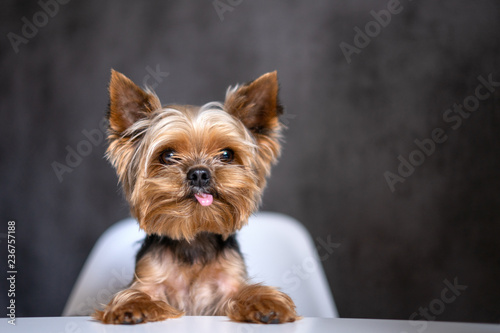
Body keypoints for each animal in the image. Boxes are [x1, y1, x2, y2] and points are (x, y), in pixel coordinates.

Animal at [93, 68, 296, 322]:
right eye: (168, 155)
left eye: (226, 154)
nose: (199, 174)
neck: (193, 240)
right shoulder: (150, 278)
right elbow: (137, 293)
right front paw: (132, 306)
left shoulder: (228, 282)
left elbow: (244, 292)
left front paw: (266, 303)